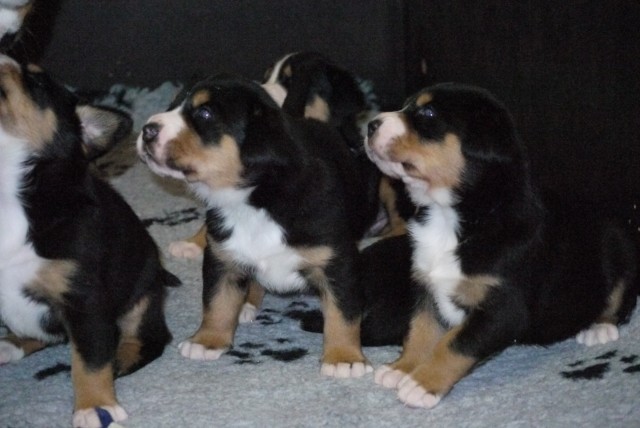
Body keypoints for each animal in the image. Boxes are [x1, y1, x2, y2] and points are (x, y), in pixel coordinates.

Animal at [0, 54, 179, 428]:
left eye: (37, 82)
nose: (3, 53)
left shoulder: (84, 298)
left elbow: (90, 361)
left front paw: (95, 406)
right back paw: (9, 343)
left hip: (142, 296)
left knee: (148, 338)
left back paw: (120, 360)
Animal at [138, 75, 380, 376]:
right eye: (172, 106)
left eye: (205, 114)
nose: (147, 130)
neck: (254, 199)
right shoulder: (221, 257)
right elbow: (217, 301)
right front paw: (206, 341)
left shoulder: (337, 261)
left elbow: (342, 312)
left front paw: (344, 359)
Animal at [362, 83, 636, 408]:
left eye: (428, 113)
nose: (370, 125)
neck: (454, 219)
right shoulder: (426, 287)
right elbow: (420, 330)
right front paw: (402, 368)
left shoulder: (504, 307)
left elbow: (454, 343)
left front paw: (421, 384)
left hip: (618, 247)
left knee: (621, 300)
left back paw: (599, 327)